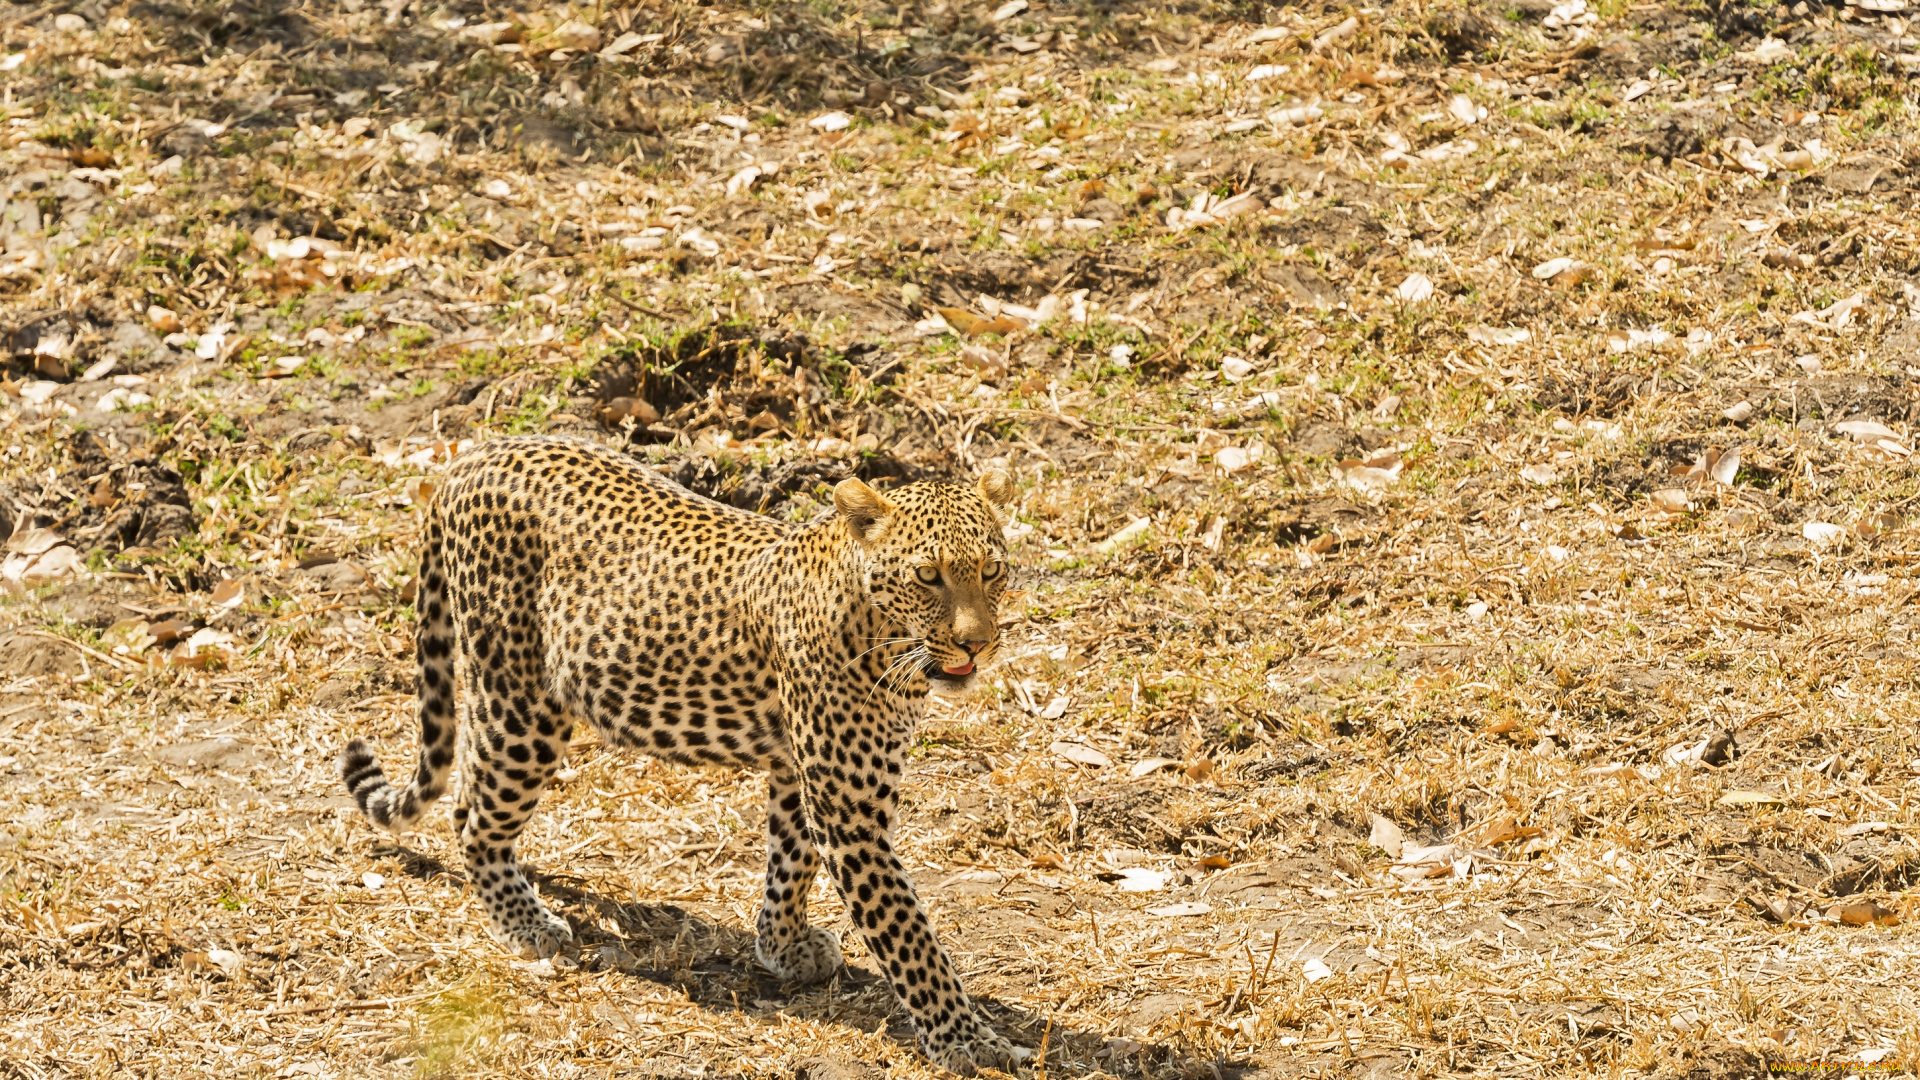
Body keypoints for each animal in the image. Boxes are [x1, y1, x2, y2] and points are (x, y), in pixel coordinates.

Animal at [345, 432, 1036, 1068]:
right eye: (928, 576)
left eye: (993, 571)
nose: (978, 644)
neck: (883, 637)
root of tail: (480, 453)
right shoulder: (850, 812)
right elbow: (909, 934)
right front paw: (968, 1042)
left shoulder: (797, 773)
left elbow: (789, 862)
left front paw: (782, 947)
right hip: (519, 701)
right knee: (474, 813)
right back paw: (525, 923)